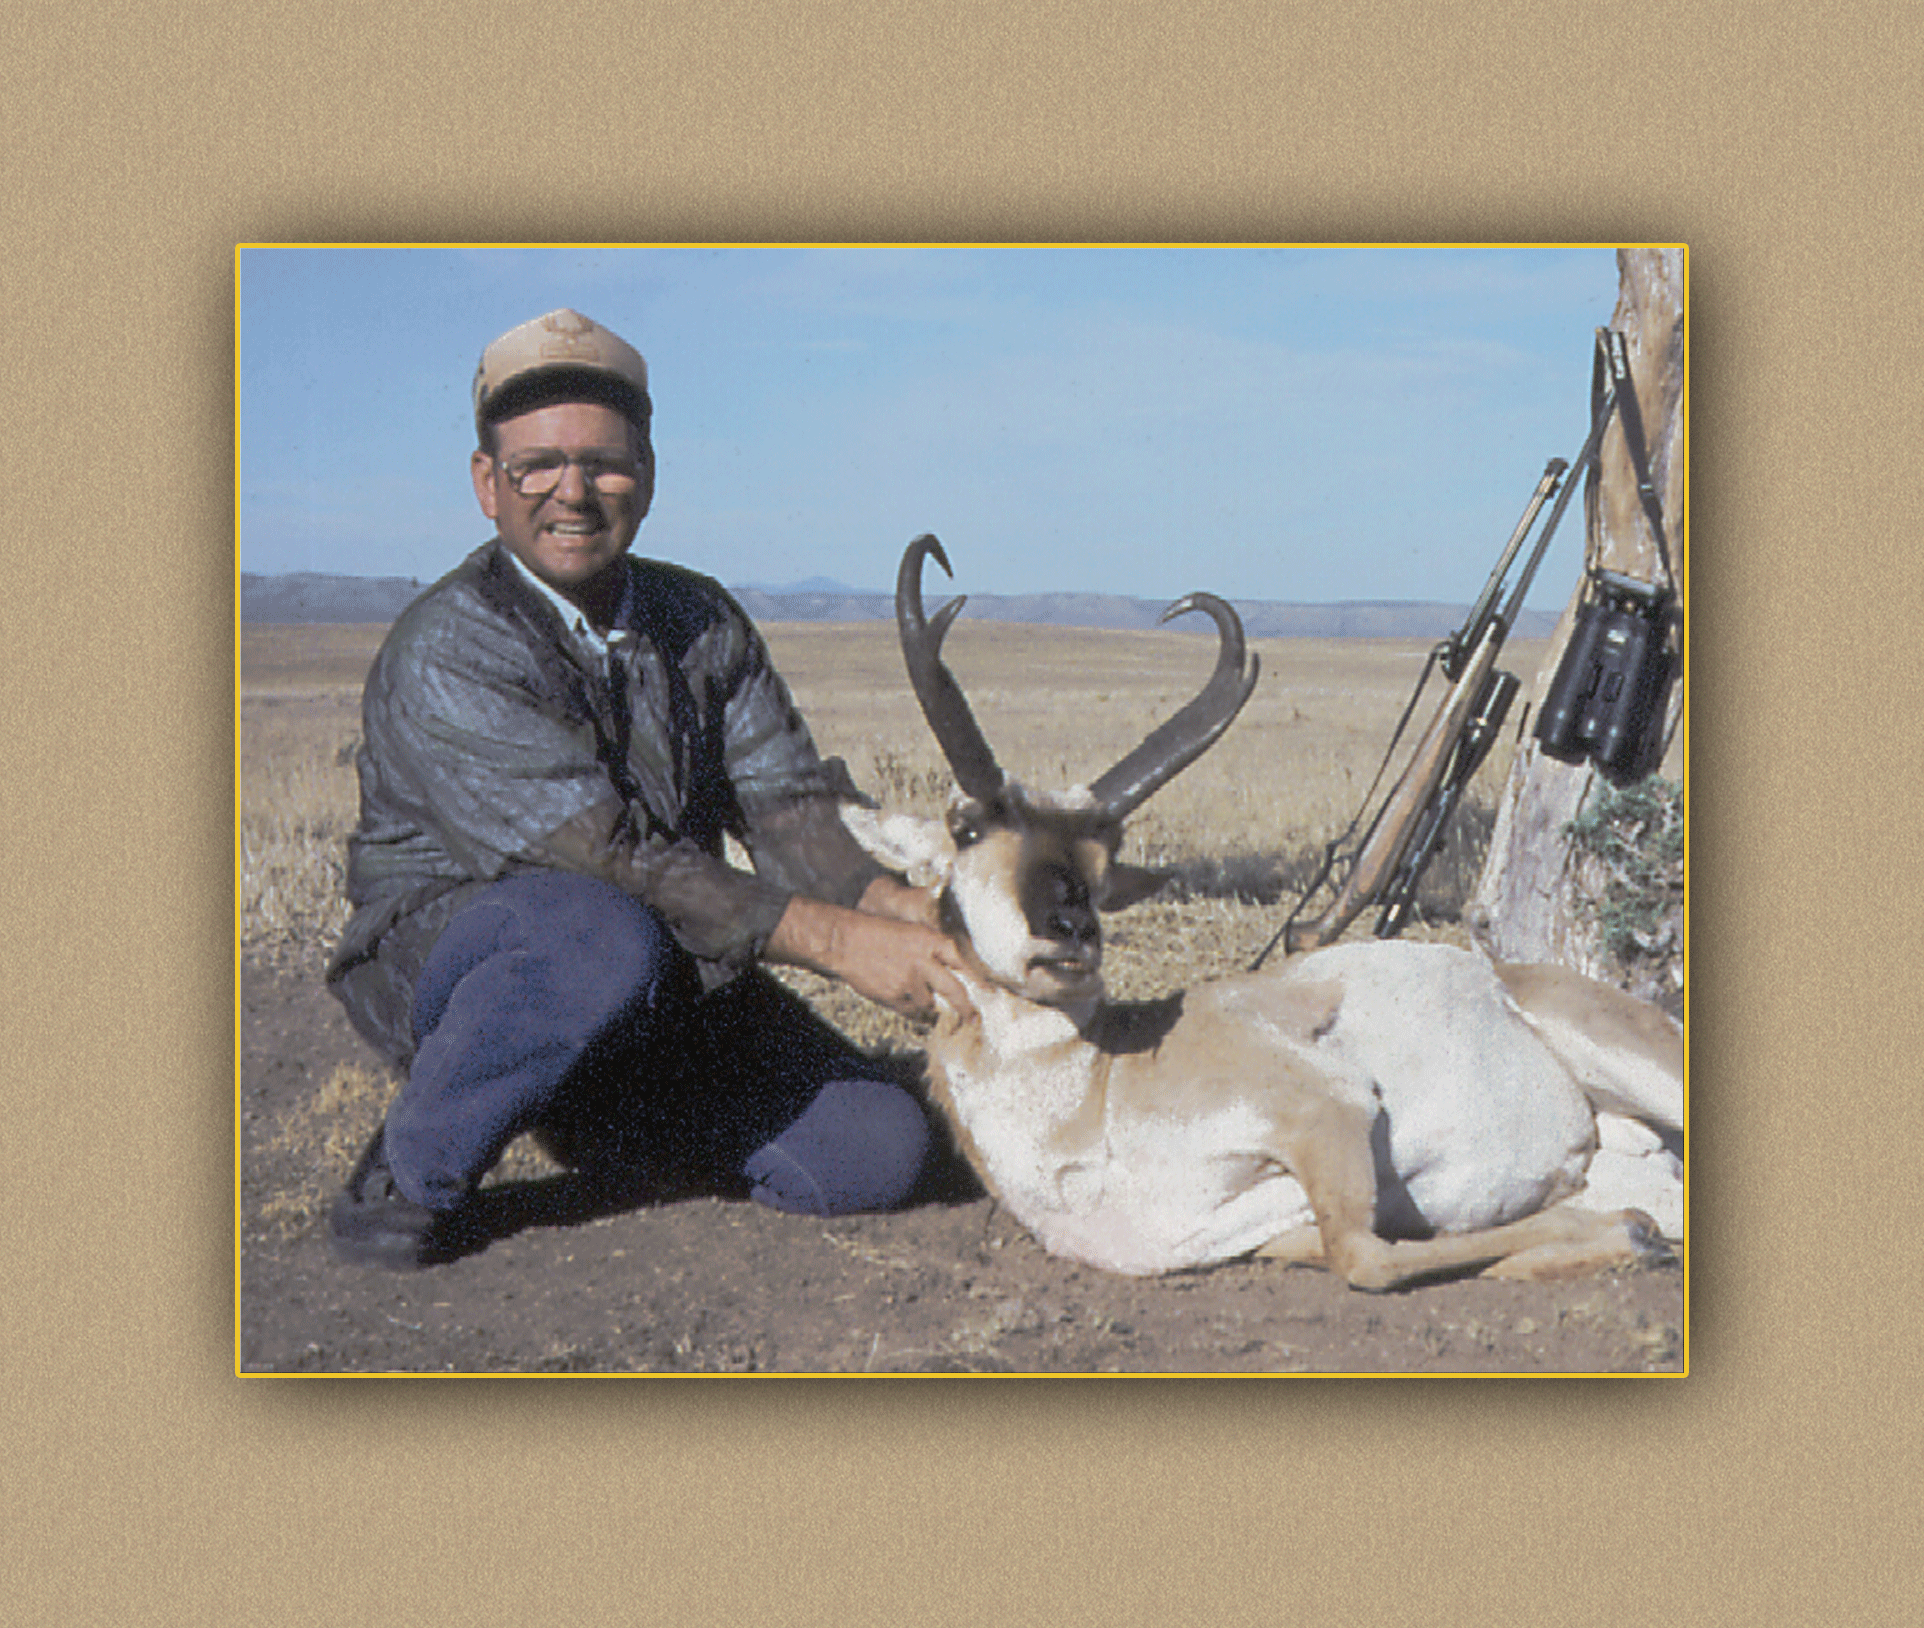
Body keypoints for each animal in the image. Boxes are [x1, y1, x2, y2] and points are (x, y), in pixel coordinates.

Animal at [844, 535, 1684, 1291]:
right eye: (967, 827)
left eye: (1104, 860)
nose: (1072, 934)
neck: (1101, 1096)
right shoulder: (1269, 1229)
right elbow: (1382, 1248)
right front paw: (1623, 1233)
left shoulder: (1329, 1107)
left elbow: (1364, 1258)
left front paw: (1621, 1233)